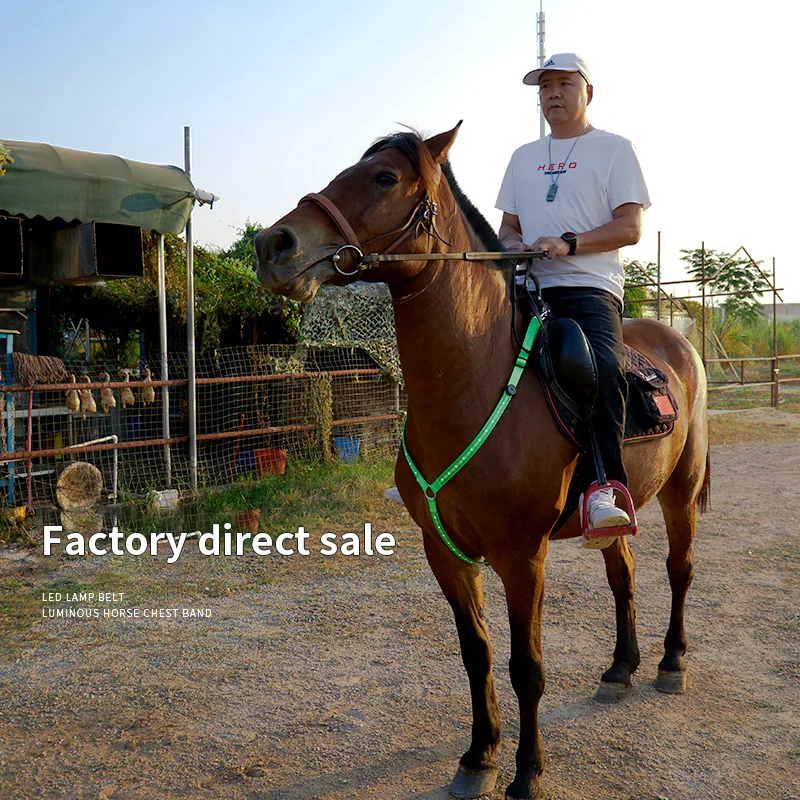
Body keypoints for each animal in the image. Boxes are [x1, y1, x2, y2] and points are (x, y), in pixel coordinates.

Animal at [254, 123, 710, 800]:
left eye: (384, 178)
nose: (272, 245)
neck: (473, 381)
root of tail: (677, 338)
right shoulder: (445, 551)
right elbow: (478, 654)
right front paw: (478, 757)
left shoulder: (522, 556)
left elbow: (527, 667)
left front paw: (527, 772)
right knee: (623, 574)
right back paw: (619, 669)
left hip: (682, 489)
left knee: (679, 570)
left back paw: (670, 661)